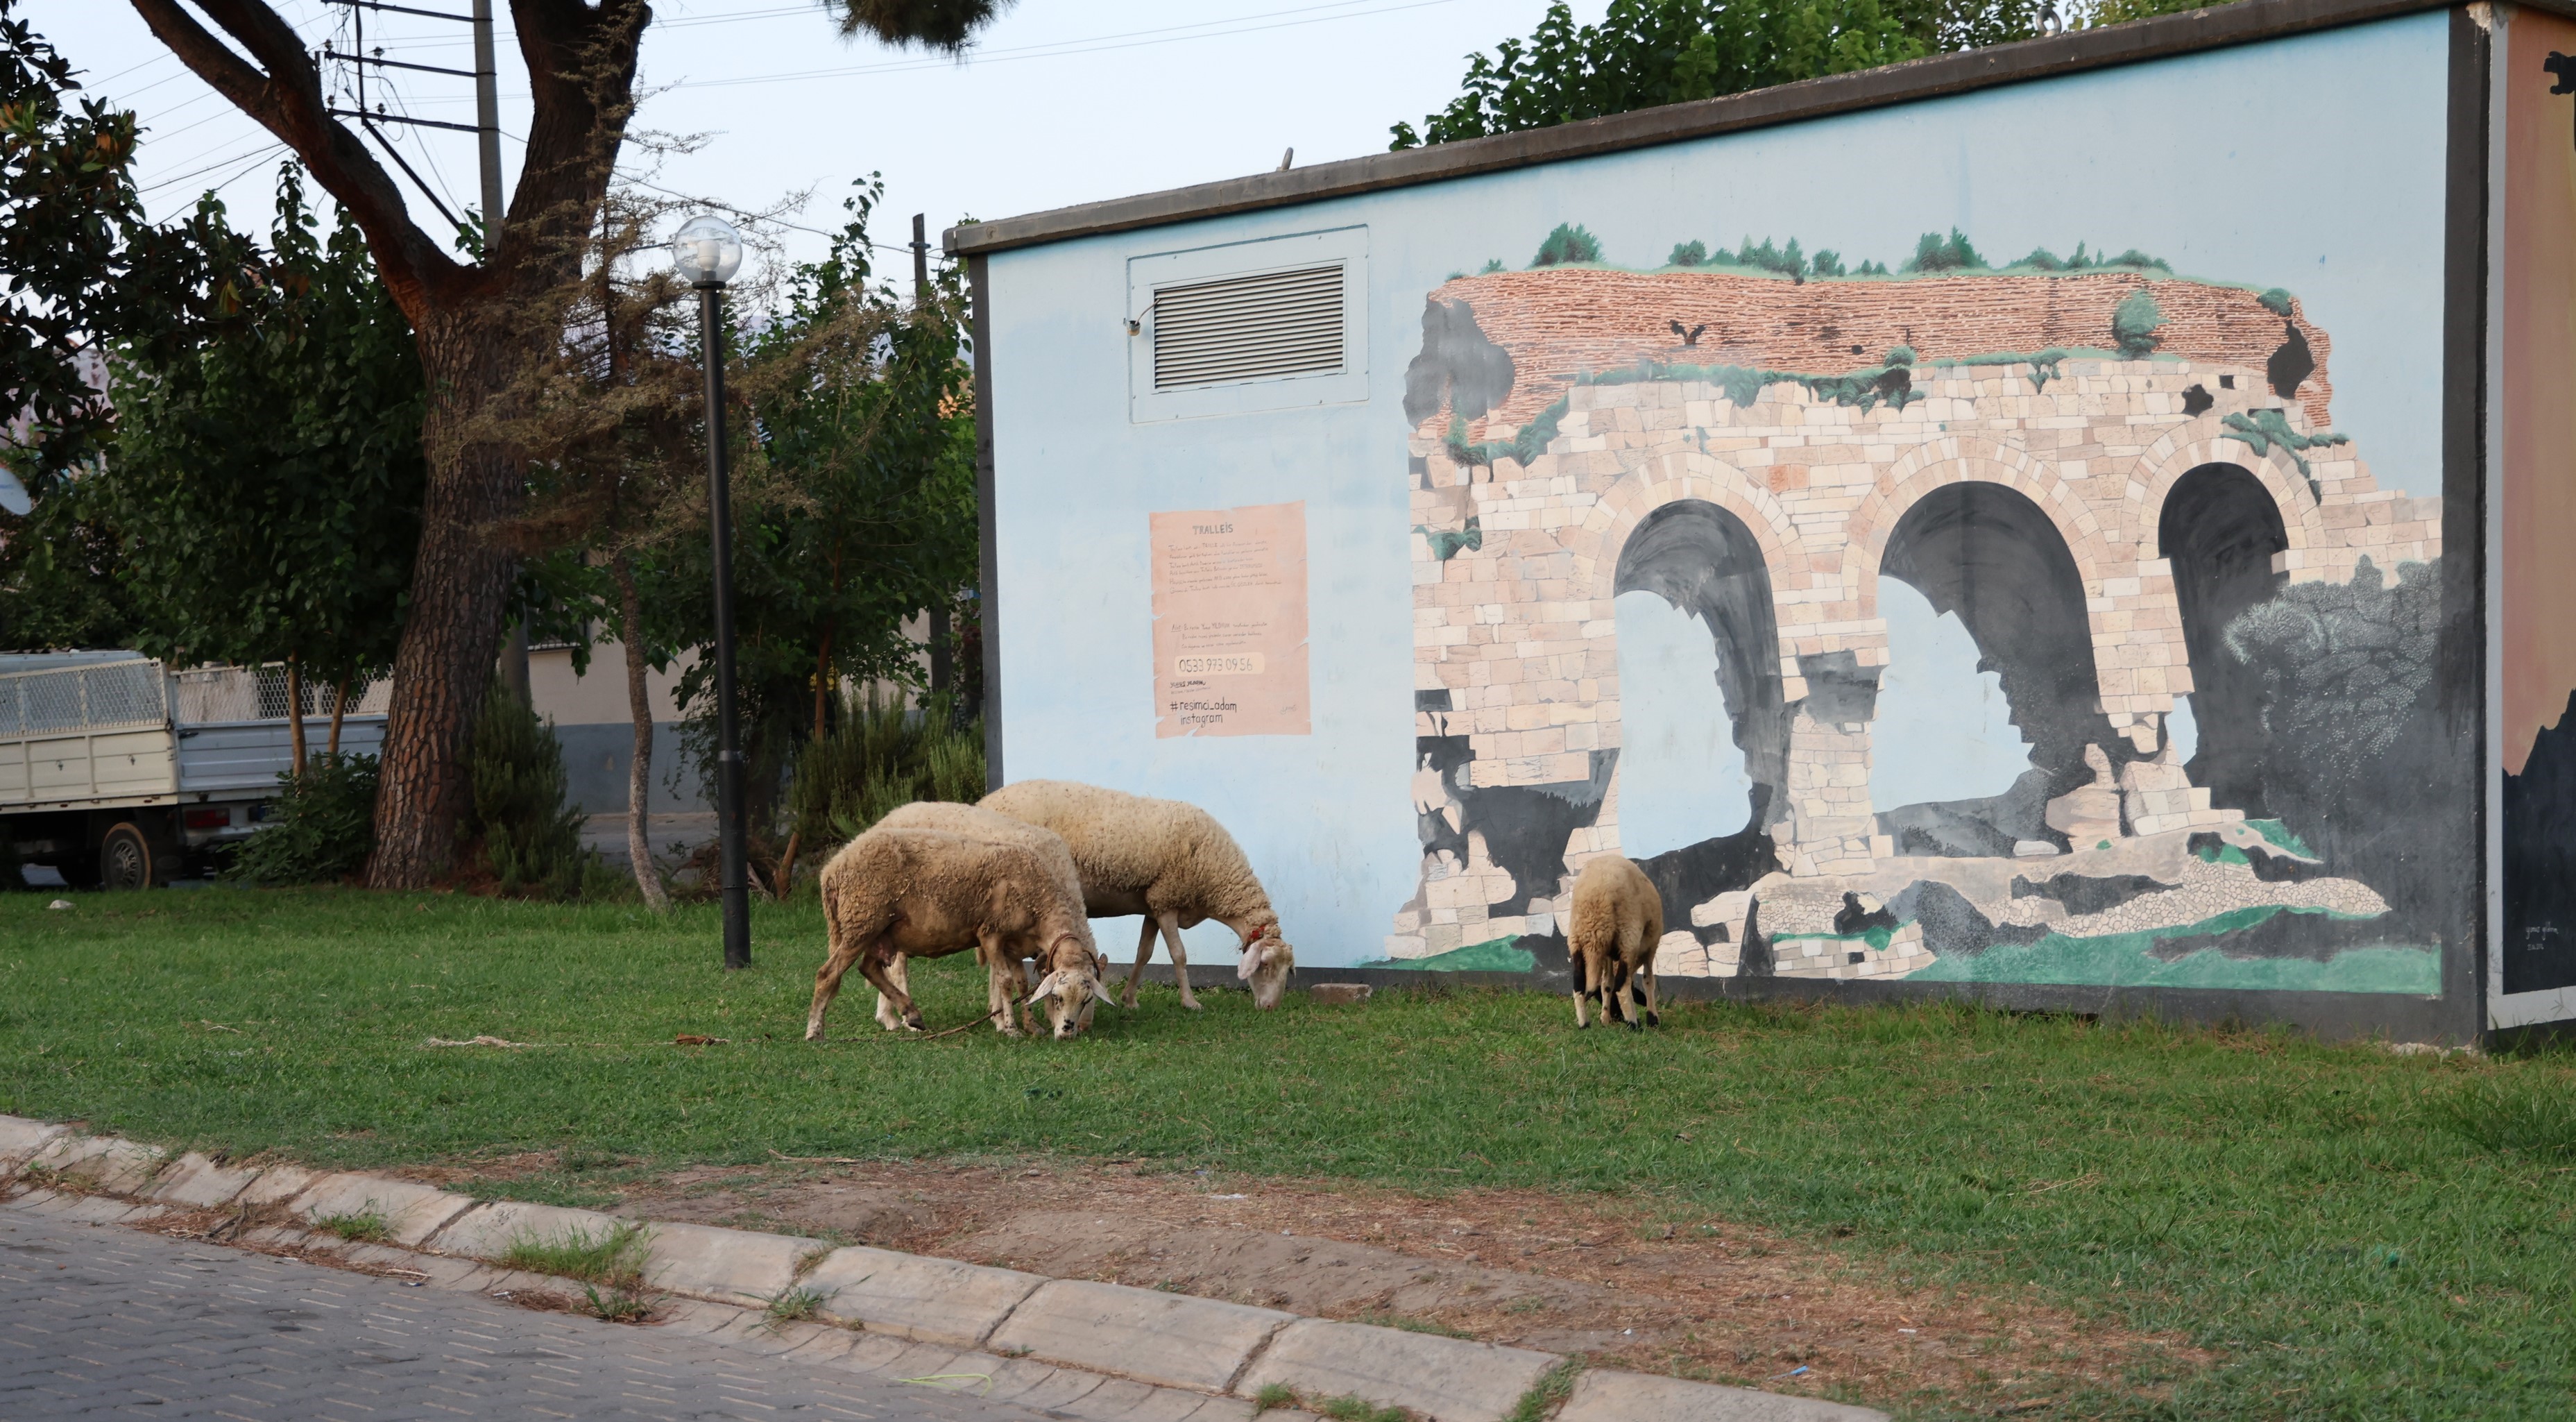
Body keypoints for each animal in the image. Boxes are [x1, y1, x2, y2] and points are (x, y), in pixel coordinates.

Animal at [803, 809, 1107, 1046]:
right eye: (1057, 998)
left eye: (1086, 1000)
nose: (1069, 1034)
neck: (1039, 899)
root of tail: (832, 869)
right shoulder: (991, 934)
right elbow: (1005, 981)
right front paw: (1010, 1028)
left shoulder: (1014, 945)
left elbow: (1022, 983)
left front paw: (1031, 1026)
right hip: (861, 923)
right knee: (828, 974)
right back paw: (815, 1032)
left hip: (879, 933)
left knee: (869, 968)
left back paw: (911, 1013)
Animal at [984, 778, 1308, 1010]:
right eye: (1265, 966)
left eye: (1288, 970)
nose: (1270, 1007)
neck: (1216, 878)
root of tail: (985, 801)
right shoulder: (1167, 901)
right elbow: (1179, 955)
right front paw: (1190, 1002)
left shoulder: (1154, 905)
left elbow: (1144, 953)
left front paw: (1130, 1000)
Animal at [1566, 849, 1669, 1025]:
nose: (1617, 1016)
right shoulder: (1650, 948)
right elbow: (1648, 981)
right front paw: (1652, 1019)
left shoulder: (1608, 954)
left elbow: (1607, 984)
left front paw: (1605, 1019)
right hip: (1628, 938)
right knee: (1622, 986)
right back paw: (1634, 1025)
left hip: (1576, 940)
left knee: (1578, 985)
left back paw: (1584, 1024)